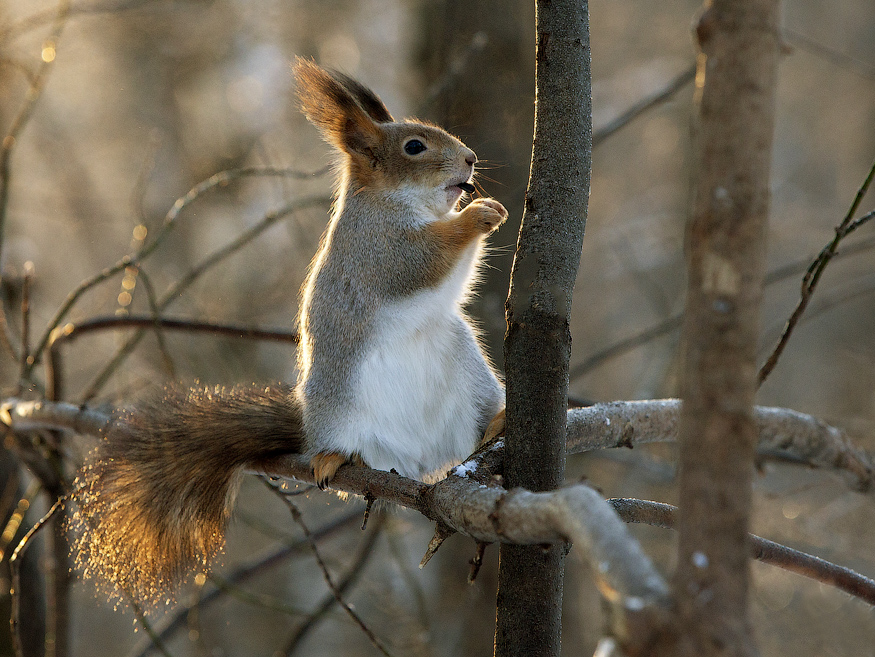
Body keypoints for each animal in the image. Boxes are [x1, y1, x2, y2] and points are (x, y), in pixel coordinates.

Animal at [72, 59, 510, 604]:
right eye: (414, 147)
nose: (470, 160)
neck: (396, 203)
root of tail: (420, 459)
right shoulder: (378, 250)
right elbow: (424, 261)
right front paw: (477, 215)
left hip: (465, 366)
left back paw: (496, 422)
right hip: (338, 400)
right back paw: (329, 458)